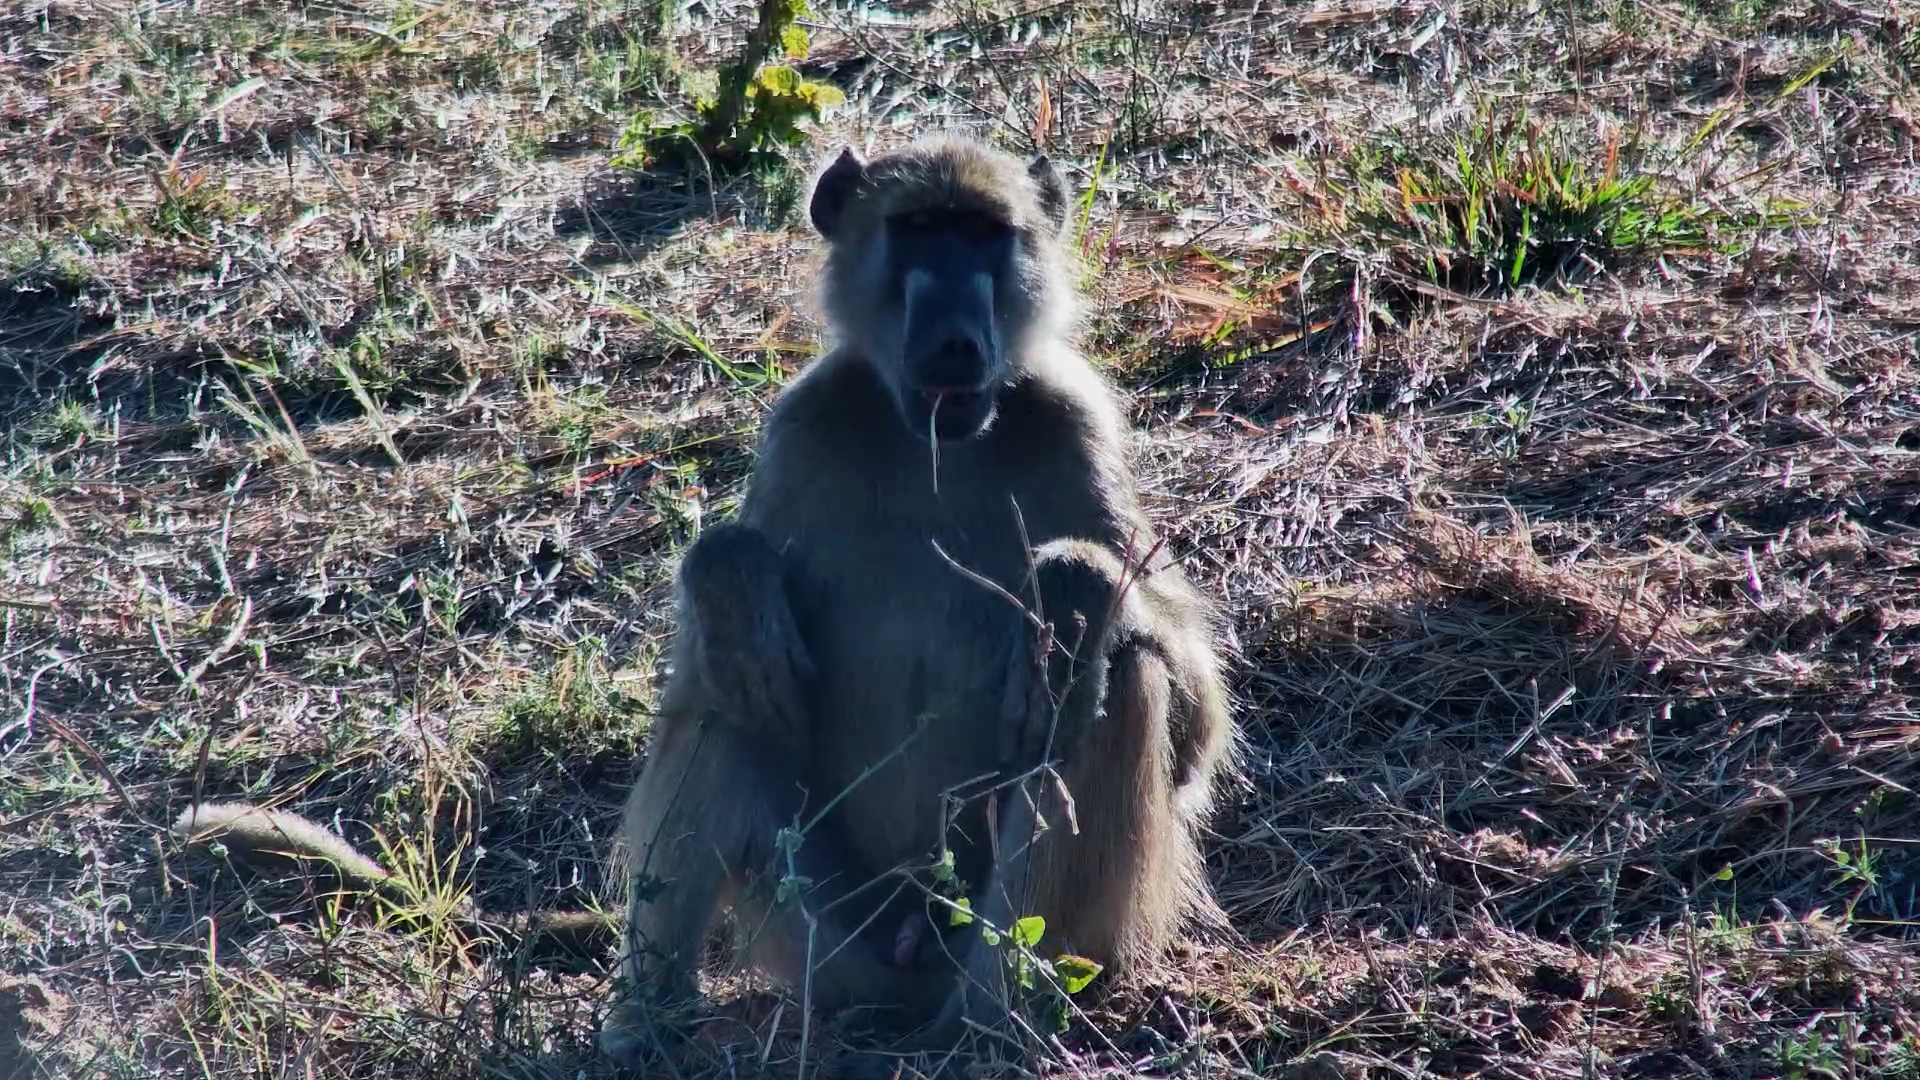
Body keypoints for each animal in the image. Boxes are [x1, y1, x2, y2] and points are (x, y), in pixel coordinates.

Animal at [599, 134, 1236, 1075]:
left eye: (984, 235)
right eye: (919, 231)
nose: (954, 344)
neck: (933, 445)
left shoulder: (1079, 424)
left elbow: (1192, 727)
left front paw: (1074, 591)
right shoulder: (802, 426)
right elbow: (717, 648)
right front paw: (730, 574)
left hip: (1052, 942)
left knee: (1106, 685)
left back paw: (993, 1027)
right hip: (832, 943)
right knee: (727, 688)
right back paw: (647, 1023)